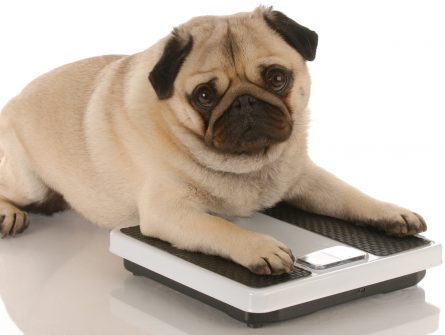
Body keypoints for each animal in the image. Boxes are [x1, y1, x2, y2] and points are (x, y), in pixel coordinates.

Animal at [0, 7, 424, 276]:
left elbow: (350, 195)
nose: (245, 102)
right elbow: (223, 228)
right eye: (205, 96)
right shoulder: (169, 211)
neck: (249, 165)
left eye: (277, 78)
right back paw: (11, 214)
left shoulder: (304, 178)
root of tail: (14, 100)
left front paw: (390, 212)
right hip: (28, 180)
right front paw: (260, 247)